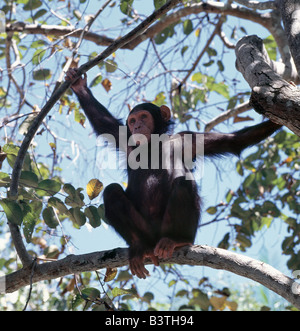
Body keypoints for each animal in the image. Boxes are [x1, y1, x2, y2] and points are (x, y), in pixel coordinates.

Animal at [65, 68, 282, 278]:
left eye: (143, 117)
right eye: (132, 120)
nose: (136, 126)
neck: (152, 144)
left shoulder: (188, 139)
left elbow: (234, 141)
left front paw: (275, 120)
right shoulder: (127, 140)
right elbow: (104, 123)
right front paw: (78, 86)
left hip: (170, 229)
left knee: (183, 182)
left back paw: (177, 240)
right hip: (146, 231)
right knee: (112, 191)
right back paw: (139, 246)